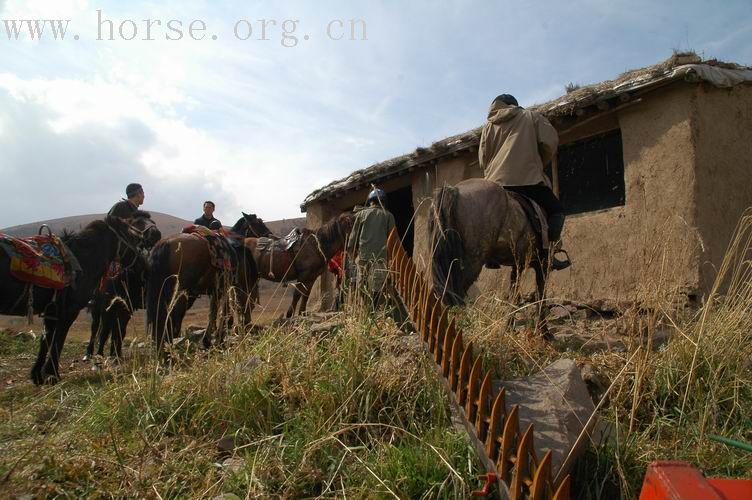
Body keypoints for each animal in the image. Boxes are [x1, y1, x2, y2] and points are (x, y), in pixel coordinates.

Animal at [147, 215, 262, 352]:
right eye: (259, 223)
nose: (269, 235)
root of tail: (165, 244)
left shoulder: (216, 290)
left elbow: (213, 313)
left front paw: (209, 340)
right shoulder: (228, 286)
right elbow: (223, 312)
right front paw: (217, 340)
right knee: (171, 314)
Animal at [428, 180, 552, 336]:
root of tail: (454, 190)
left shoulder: (518, 265)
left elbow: (515, 295)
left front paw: (508, 328)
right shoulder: (542, 263)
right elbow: (540, 294)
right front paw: (544, 332)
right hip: (471, 265)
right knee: (454, 296)